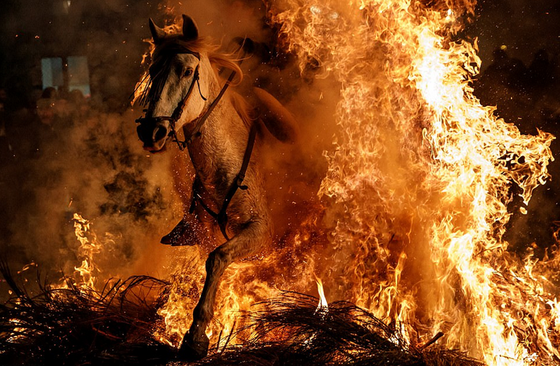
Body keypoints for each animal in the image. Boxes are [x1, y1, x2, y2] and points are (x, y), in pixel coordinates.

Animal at [134, 15, 300, 360]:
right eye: (152, 71)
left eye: (186, 71)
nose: (151, 132)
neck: (227, 168)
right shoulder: (203, 238)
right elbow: (209, 269)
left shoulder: (260, 233)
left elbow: (218, 259)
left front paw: (196, 335)